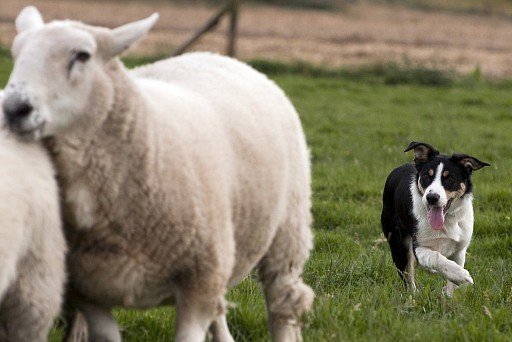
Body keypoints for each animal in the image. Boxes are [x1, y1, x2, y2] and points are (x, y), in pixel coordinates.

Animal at [382, 140, 490, 296]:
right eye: (427, 176)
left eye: (449, 179)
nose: (432, 198)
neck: (447, 220)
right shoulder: (419, 246)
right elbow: (436, 257)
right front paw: (462, 276)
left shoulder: (459, 248)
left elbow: (452, 282)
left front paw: (450, 294)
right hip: (398, 242)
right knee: (407, 276)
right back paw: (413, 295)